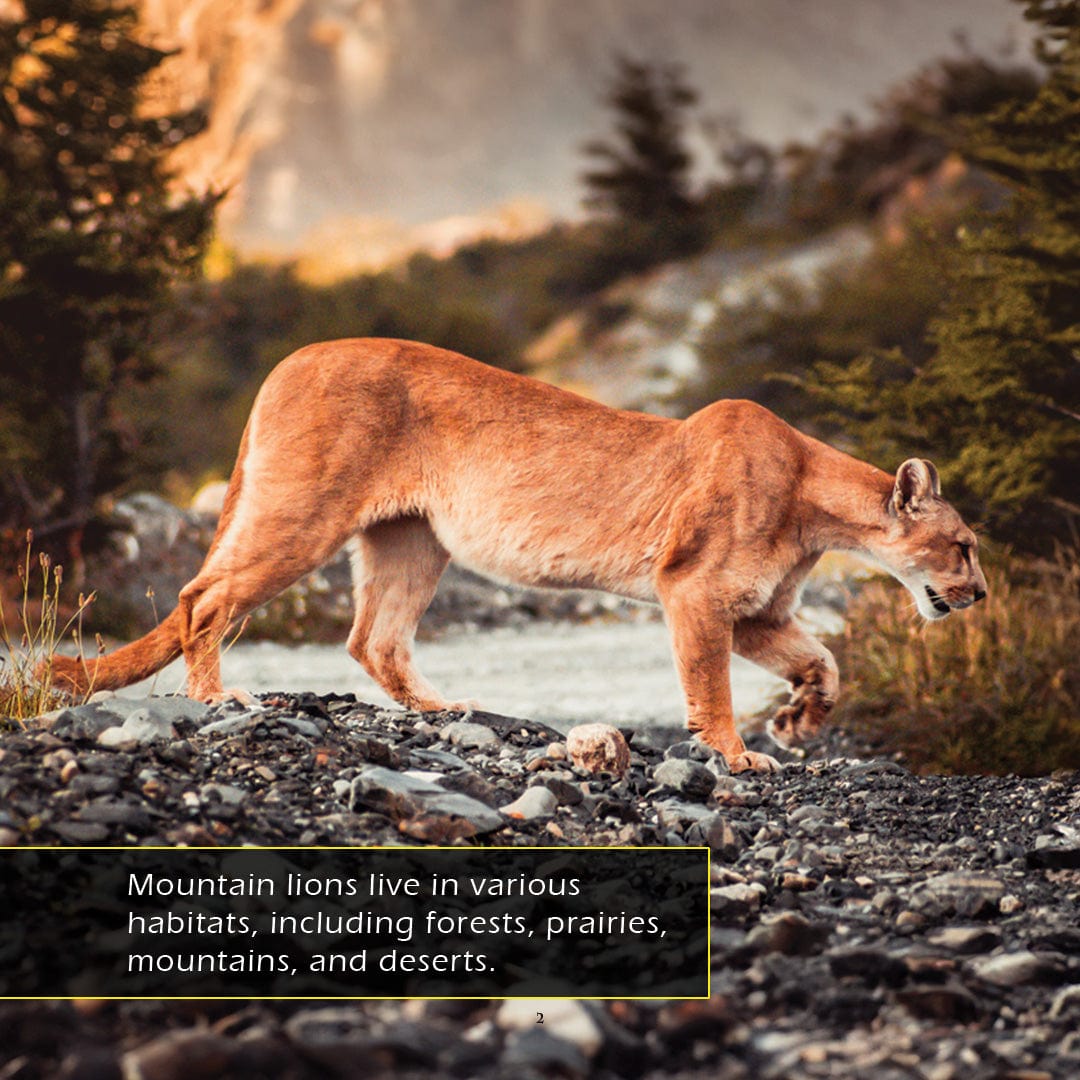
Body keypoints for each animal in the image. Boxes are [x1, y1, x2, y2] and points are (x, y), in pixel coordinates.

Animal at [48, 339, 987, 773]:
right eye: (964, 546)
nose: (978, 595)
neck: (812, 500)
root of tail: (293, 357)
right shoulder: (693, 590)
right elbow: (711, 683)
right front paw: (736, 753)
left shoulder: (757, 610)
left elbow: (824, 660)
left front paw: (797, 722)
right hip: (303, 515)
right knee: (202, 598)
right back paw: (218, 697)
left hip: (412, 538)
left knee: (370, 637)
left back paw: (443, 709)